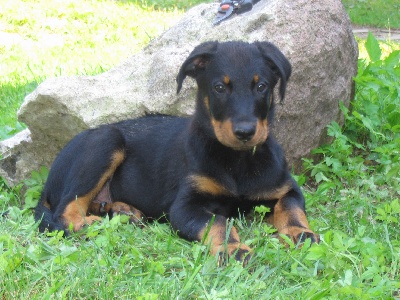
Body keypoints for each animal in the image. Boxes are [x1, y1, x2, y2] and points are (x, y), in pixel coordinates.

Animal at [36, 40, 320, 262]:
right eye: (219, 87)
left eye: (261, 87)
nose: (245, 132)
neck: (236, 161)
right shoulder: (185, 207)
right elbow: (218, 222)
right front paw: (233, 249)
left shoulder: (286, 188)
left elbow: (291, 209)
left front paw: (301, 234)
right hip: (106, 141)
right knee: (64, 212)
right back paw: (92, 224)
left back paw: (123, 211)